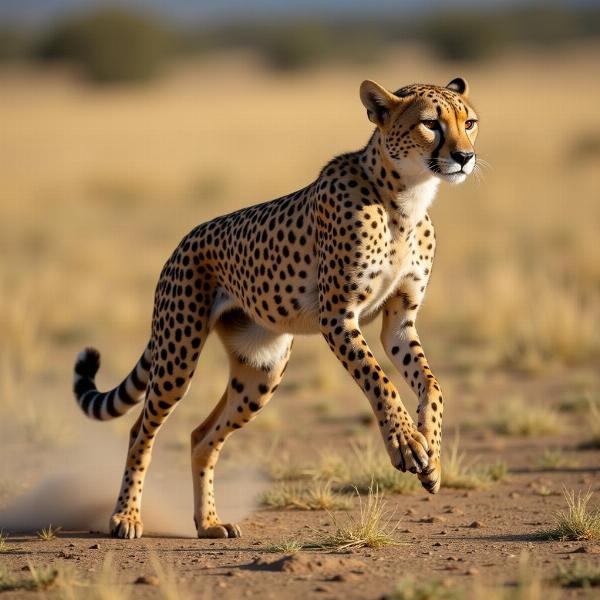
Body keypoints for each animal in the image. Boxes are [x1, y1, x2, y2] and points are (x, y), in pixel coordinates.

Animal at [74, 76, 478, 540]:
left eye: (469, 122)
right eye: (431, 124)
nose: (465, 157)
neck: (405, 199)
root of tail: (185, 240)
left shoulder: (399, 320)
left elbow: (431, 384)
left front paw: (431, 456)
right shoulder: (337, 317)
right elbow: (380, 381)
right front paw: (408, 445)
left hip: (261, 371)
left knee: (201, 436)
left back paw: (208, 522)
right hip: (177, 355)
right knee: (141, 429)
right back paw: (126, 516)